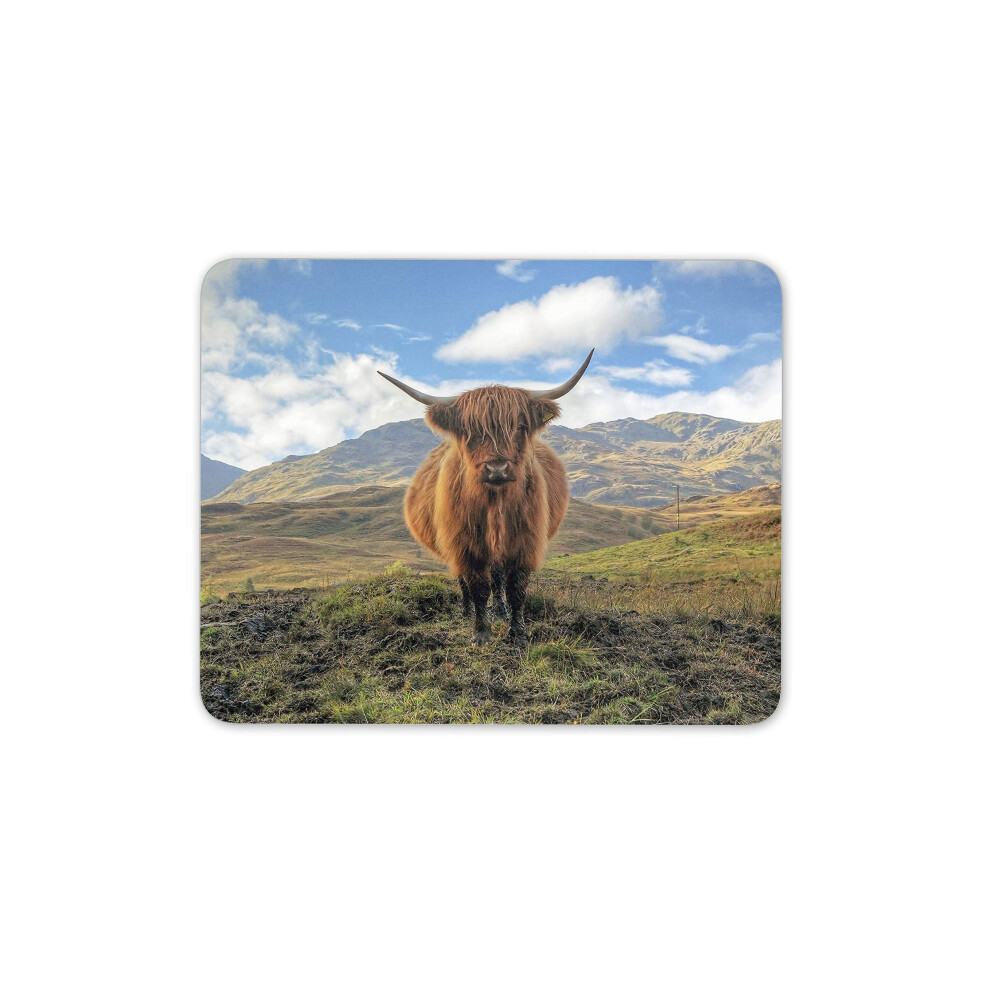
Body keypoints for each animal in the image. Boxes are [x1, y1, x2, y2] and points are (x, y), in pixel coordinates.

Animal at [378, 350, 594, 646]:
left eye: (520, 427)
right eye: (469, 431)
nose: (497, 468)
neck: (495, 504)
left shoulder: (524, 542)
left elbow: (516, 588)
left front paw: (518, 633)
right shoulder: (464, 543)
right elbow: (477, 586)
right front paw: (480, 632)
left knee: (498, 577)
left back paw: (500, 611)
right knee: (466, 581)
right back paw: (467, 610)